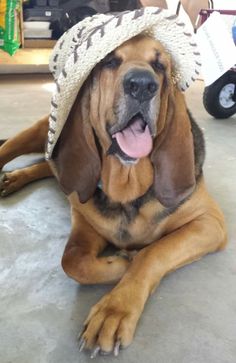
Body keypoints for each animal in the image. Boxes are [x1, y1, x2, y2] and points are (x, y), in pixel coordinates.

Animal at [0, 35, 227, 360]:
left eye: (160, 65)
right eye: (109, 61)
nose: (142, 85)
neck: (128, 188)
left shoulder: (210, 223)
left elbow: (152, 252)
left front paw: (115, 308)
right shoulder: (83, 221)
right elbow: (73, 261)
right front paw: (120, 263)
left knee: (48, 165)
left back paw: (15, 178)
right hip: (40, 130)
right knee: (19, 152)